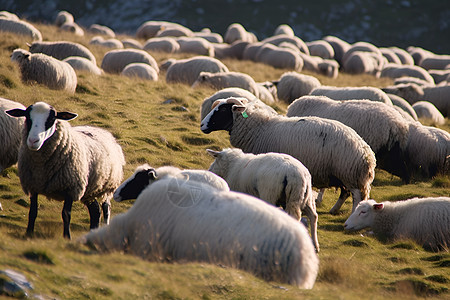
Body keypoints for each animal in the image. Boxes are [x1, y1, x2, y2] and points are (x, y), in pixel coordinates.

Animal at [6, 101, 126, 239]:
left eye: (51, 119)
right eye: (27, 117)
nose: (33, 141)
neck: (41, 168)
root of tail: (102, 130)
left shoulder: (71, 188)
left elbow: (66, 214)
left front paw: (67, 237)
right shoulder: (33, 186)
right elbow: (33, 211)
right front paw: (29, 233)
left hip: (105, 188)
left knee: (104, 209)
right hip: (89, 191)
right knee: (95, 211)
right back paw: (92, 231)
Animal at [201, 97, 376, 214]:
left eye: (223, 110)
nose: (202, 125)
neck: (260, 128)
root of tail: (367, 153)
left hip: (349, 173)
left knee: (356, 197)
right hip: (344, 175)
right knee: (345, 193)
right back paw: (334, 210)